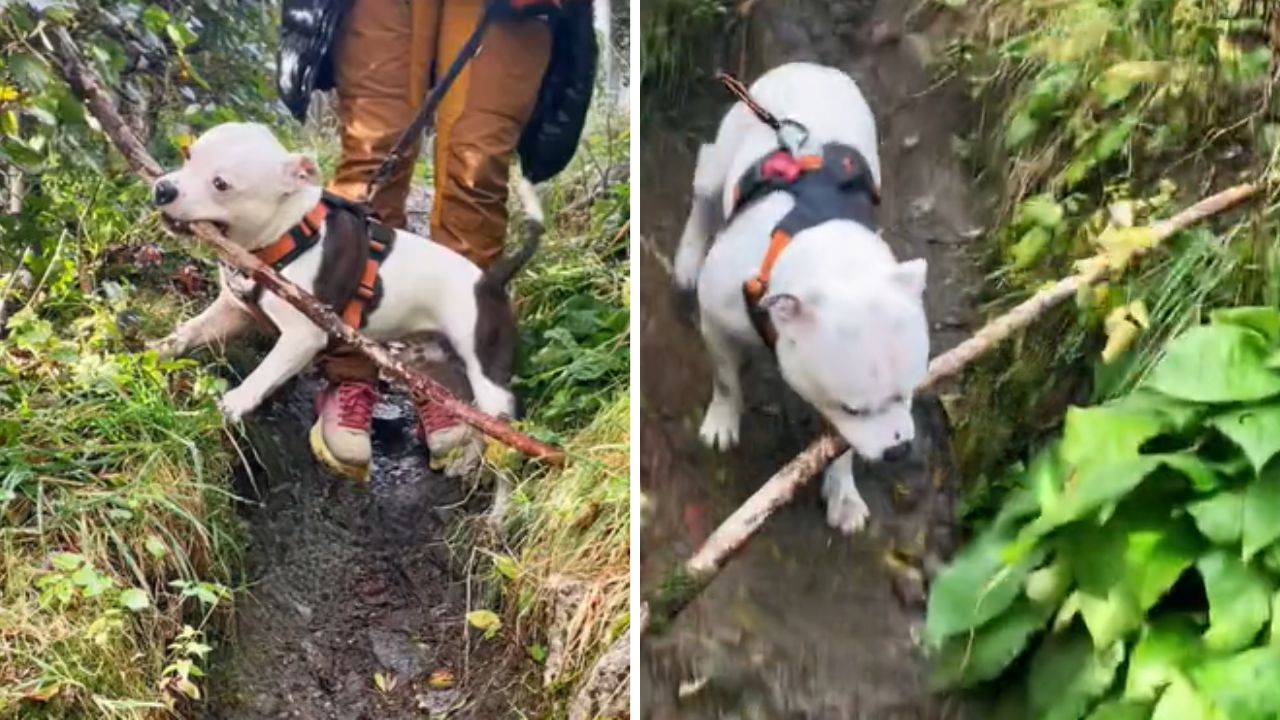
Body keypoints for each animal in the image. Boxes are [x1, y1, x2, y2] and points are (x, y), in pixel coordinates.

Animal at [151, 122, 540, 430]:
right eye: (188, 155)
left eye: (221, 184)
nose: (162, 188)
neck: (285, 233)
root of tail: (491, 279)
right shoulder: (231, 310)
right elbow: (189, 331)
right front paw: (157, 349)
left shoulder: (303, 336)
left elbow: (264, 373)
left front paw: (233, 404)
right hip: (437, 366)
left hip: (490, 379)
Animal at [670, 63, 931, 532]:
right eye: (854, 408)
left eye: (908, 392)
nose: (898, 450)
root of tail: (811, 67)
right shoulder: (716, 318)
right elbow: (725, 377)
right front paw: (722, 421)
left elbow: (838, 446)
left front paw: (844, 493)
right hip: (723, 152)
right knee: (704, 184)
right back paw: (687, 257)